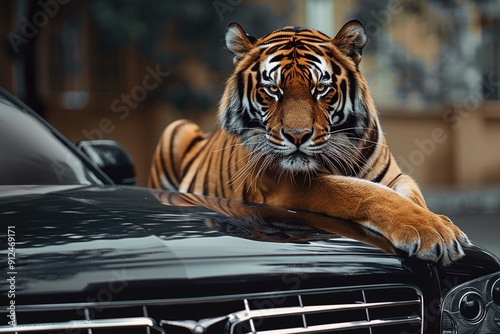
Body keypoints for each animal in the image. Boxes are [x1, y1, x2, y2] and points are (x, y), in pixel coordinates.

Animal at [147, 19, 468, 264]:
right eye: (272, 89)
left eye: (321, 88)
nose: (297, 136)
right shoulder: (281, 181)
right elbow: (361, 193)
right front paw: (432, 233)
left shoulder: (395, 176)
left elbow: (411, 197)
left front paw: (443, 224)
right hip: (177, 128)